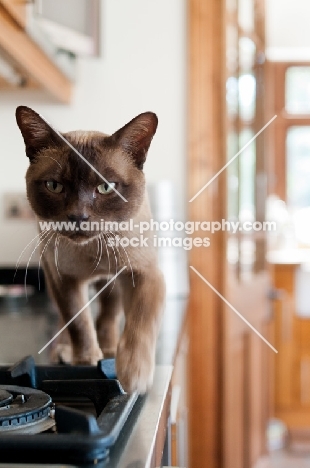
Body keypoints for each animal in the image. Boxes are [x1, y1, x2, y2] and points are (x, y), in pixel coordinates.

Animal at [15, 107, 166, 394]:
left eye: (105, 187)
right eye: (54, 186)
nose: (78, 216)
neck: (94, 249)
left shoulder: (143, 272)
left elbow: (139, 322)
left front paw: (133, 375)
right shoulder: (63, 279)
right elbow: (78, 323)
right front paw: (85, 361)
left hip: (113, 281)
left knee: (109, 315)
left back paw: (109, 351)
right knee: (66, 321)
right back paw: (66, 352)